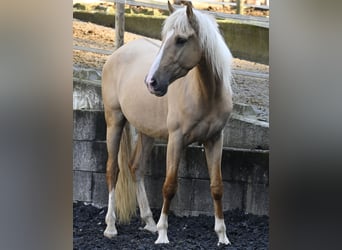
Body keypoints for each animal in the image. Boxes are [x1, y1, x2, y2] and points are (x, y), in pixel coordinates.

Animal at [101, 0, 234, 246]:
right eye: (164, 38)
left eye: (181, 39)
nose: (151, 82)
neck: (204, 94)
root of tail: (117, 54)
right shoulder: (176, 139)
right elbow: (169, 186)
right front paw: (163, 234)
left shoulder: (214, 140)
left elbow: (217, 187)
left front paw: (222, 236)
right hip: (114, 121)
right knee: (112, 169)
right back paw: (111, 226)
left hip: (146, 132)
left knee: (136, 168)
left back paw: (149, 222)